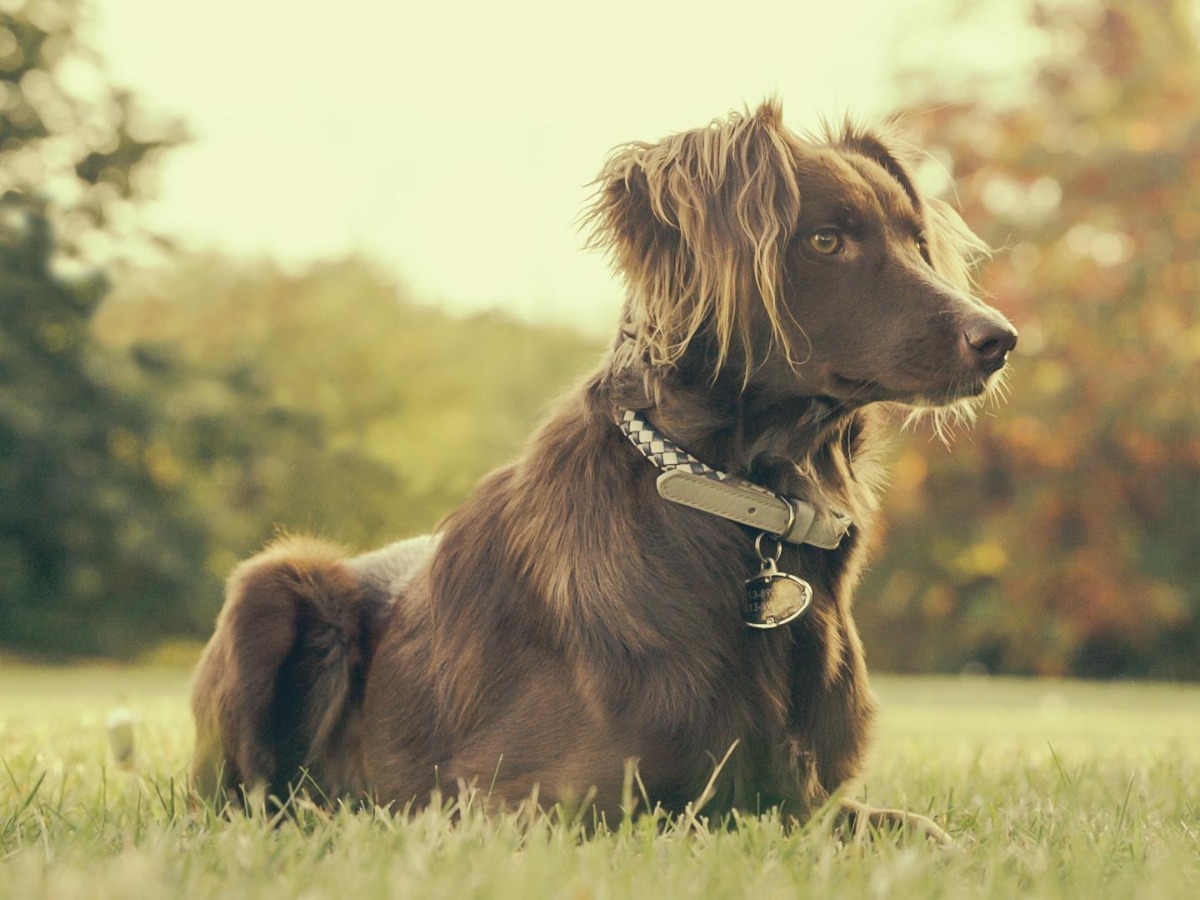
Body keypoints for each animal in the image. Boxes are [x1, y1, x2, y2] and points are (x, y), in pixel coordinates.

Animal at [192, 102, 1017, 844]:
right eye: (825, 239)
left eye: (916, 241)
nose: (1000, 339)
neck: (737, 503)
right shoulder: (514, 806)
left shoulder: (805, 802)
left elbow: (926, 832)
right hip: (273, 580)